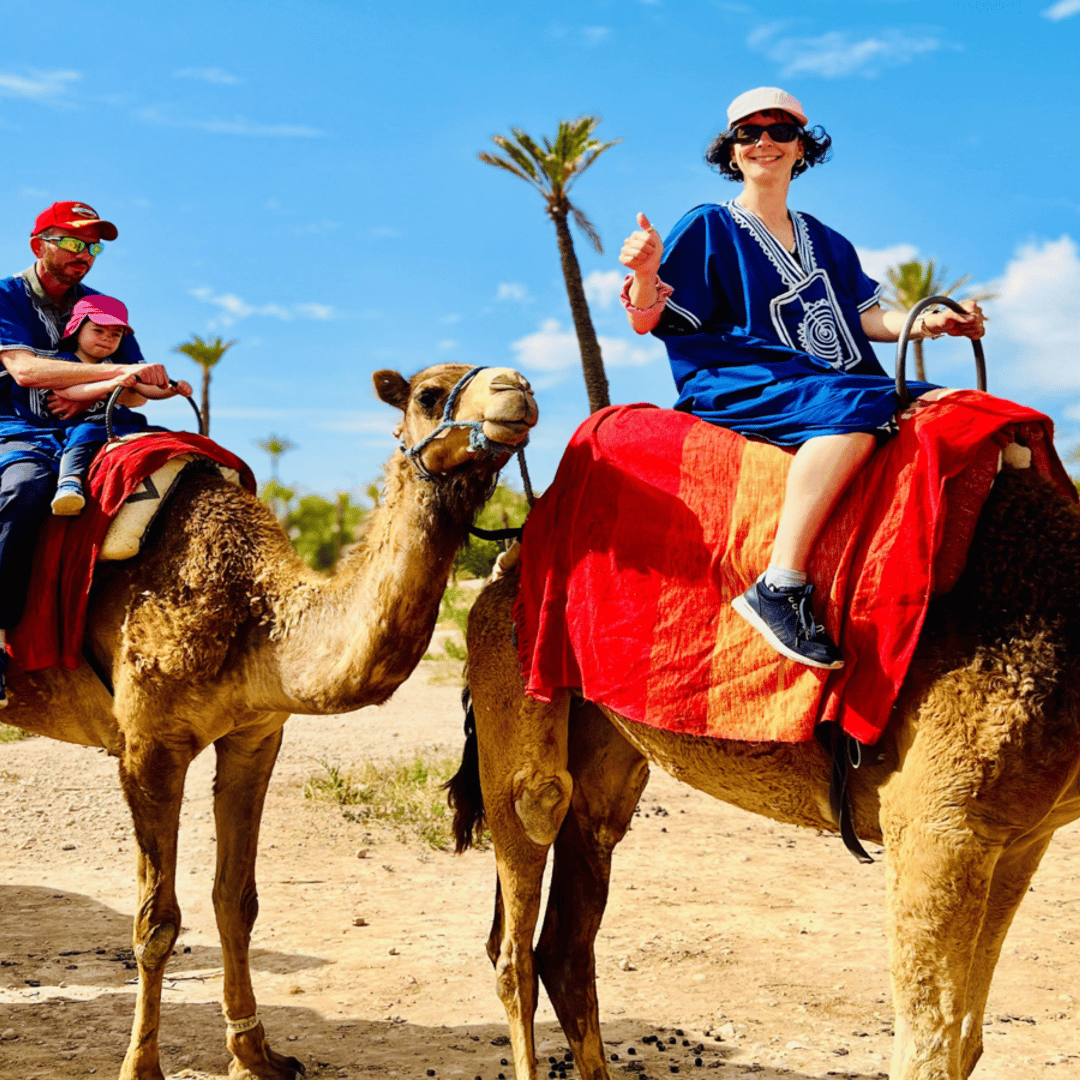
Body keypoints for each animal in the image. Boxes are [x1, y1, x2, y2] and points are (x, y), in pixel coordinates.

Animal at [1, 362, 537, 1080]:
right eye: (428, 394)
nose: (518, 390)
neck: (256, 610)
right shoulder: (148, 744)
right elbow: (155, 921)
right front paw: (141, 1066)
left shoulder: (255, 735)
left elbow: (237, 900)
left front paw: (257, 1052)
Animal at [451, 459, 1080, 1080]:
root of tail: (504, 569)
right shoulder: (939, 828)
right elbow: (929, 1054)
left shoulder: (1021, 837)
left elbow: (966, 1041)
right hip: (513, 673)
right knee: (521, 907)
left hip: (605, 752)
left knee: (567, 937)